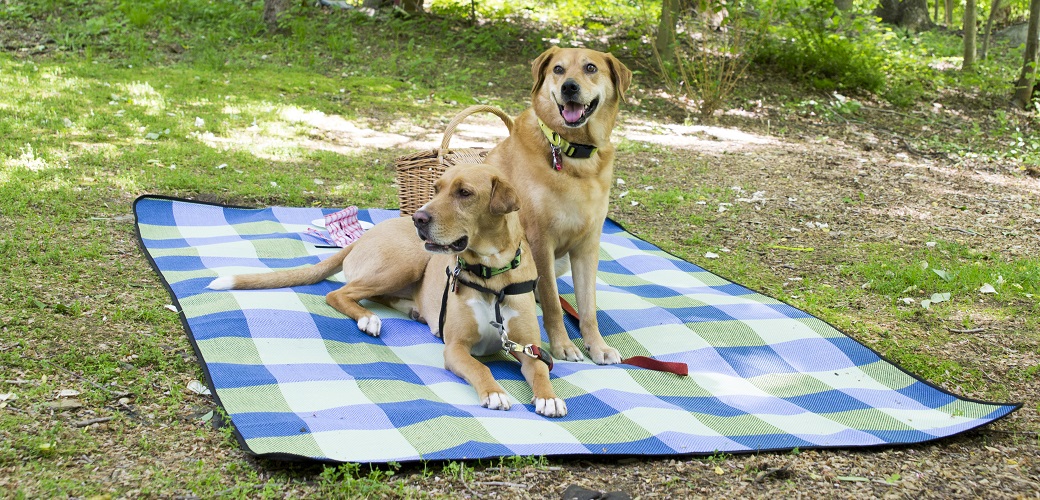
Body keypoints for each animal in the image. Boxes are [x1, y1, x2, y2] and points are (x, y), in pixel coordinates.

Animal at [209, 164, 569, 417]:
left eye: (465, 193)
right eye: (436, 188)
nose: (418, 218)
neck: (491, 276)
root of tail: (362, 237)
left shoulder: (528, 347)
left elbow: (540, 370)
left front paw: (549, 398)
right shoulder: (455, 349)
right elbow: (480, 367)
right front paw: (494, 392)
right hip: (404, 262)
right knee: (340, 294)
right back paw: (368, 319)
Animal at [484, 47, 632, 365]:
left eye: (591, 68)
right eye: (558, 69)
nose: (569, 87)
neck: (573, 152)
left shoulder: (588, 247)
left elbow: (588, 307)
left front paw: (597, 346)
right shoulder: (541, 241)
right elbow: (553, 302)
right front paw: (563, 345)